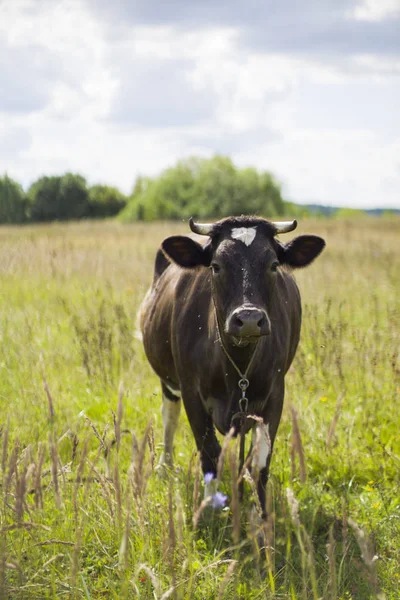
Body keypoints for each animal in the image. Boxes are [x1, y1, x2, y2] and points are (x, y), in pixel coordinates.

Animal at [141, 216, 324, 516]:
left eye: (274, 264)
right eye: (216, 266)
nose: (248, 319)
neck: (236, 364)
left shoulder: (275, 394)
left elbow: (259, 460)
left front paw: (261, 516)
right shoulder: (191, 392)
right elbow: (209, 452)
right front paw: (210, 508)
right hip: (168, 381)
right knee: (169, 417)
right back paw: (164, 467)